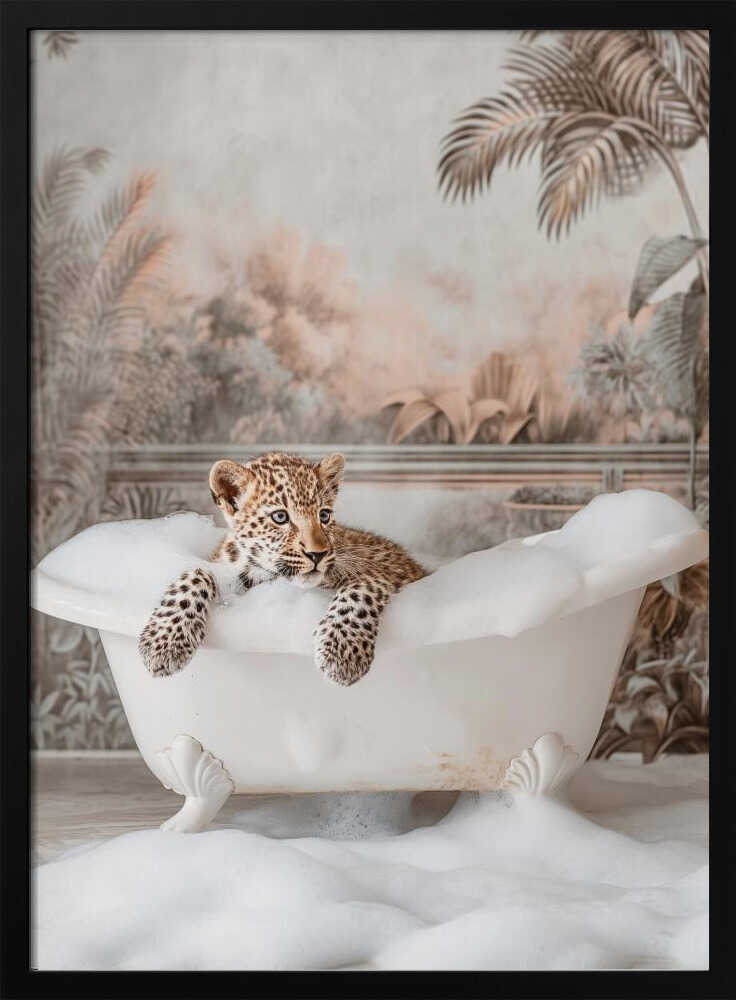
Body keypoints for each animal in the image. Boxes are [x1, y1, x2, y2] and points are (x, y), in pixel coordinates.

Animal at [138, 451, 427, 686]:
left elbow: (359, 588)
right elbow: (198, 573)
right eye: (280, 517)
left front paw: (341, 652)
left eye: (324, 515)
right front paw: (163, 642)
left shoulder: (391, 569)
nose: (317, 554)